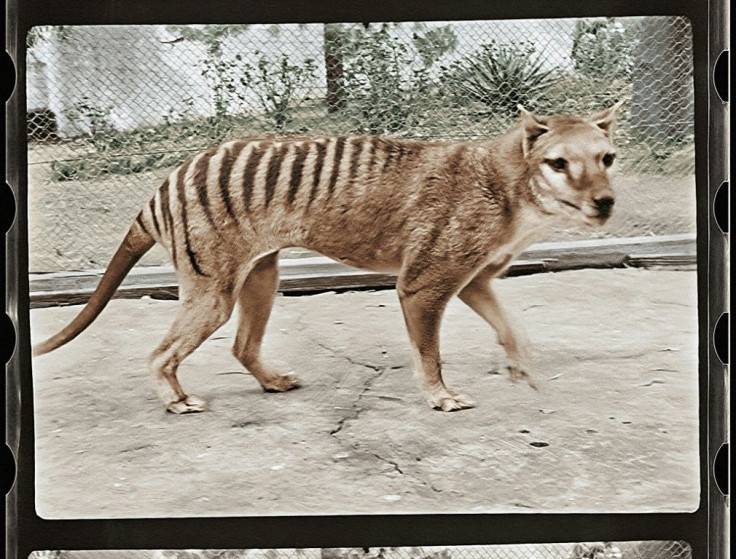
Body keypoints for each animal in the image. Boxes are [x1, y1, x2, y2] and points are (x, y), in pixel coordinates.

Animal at [33, 103, 620, 414]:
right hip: (214, 292)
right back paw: (176, 400)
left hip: (261, 276)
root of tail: (163, 186)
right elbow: (429, 353)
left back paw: (270, 381)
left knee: (242, 346)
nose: (605, 202)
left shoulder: (473, 277)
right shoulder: (424, 283)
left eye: (607, 158)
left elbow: (511, 326)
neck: (506, 181)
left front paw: (520, 363)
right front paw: (439, 396)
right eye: (558, 163)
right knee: (162, 354)